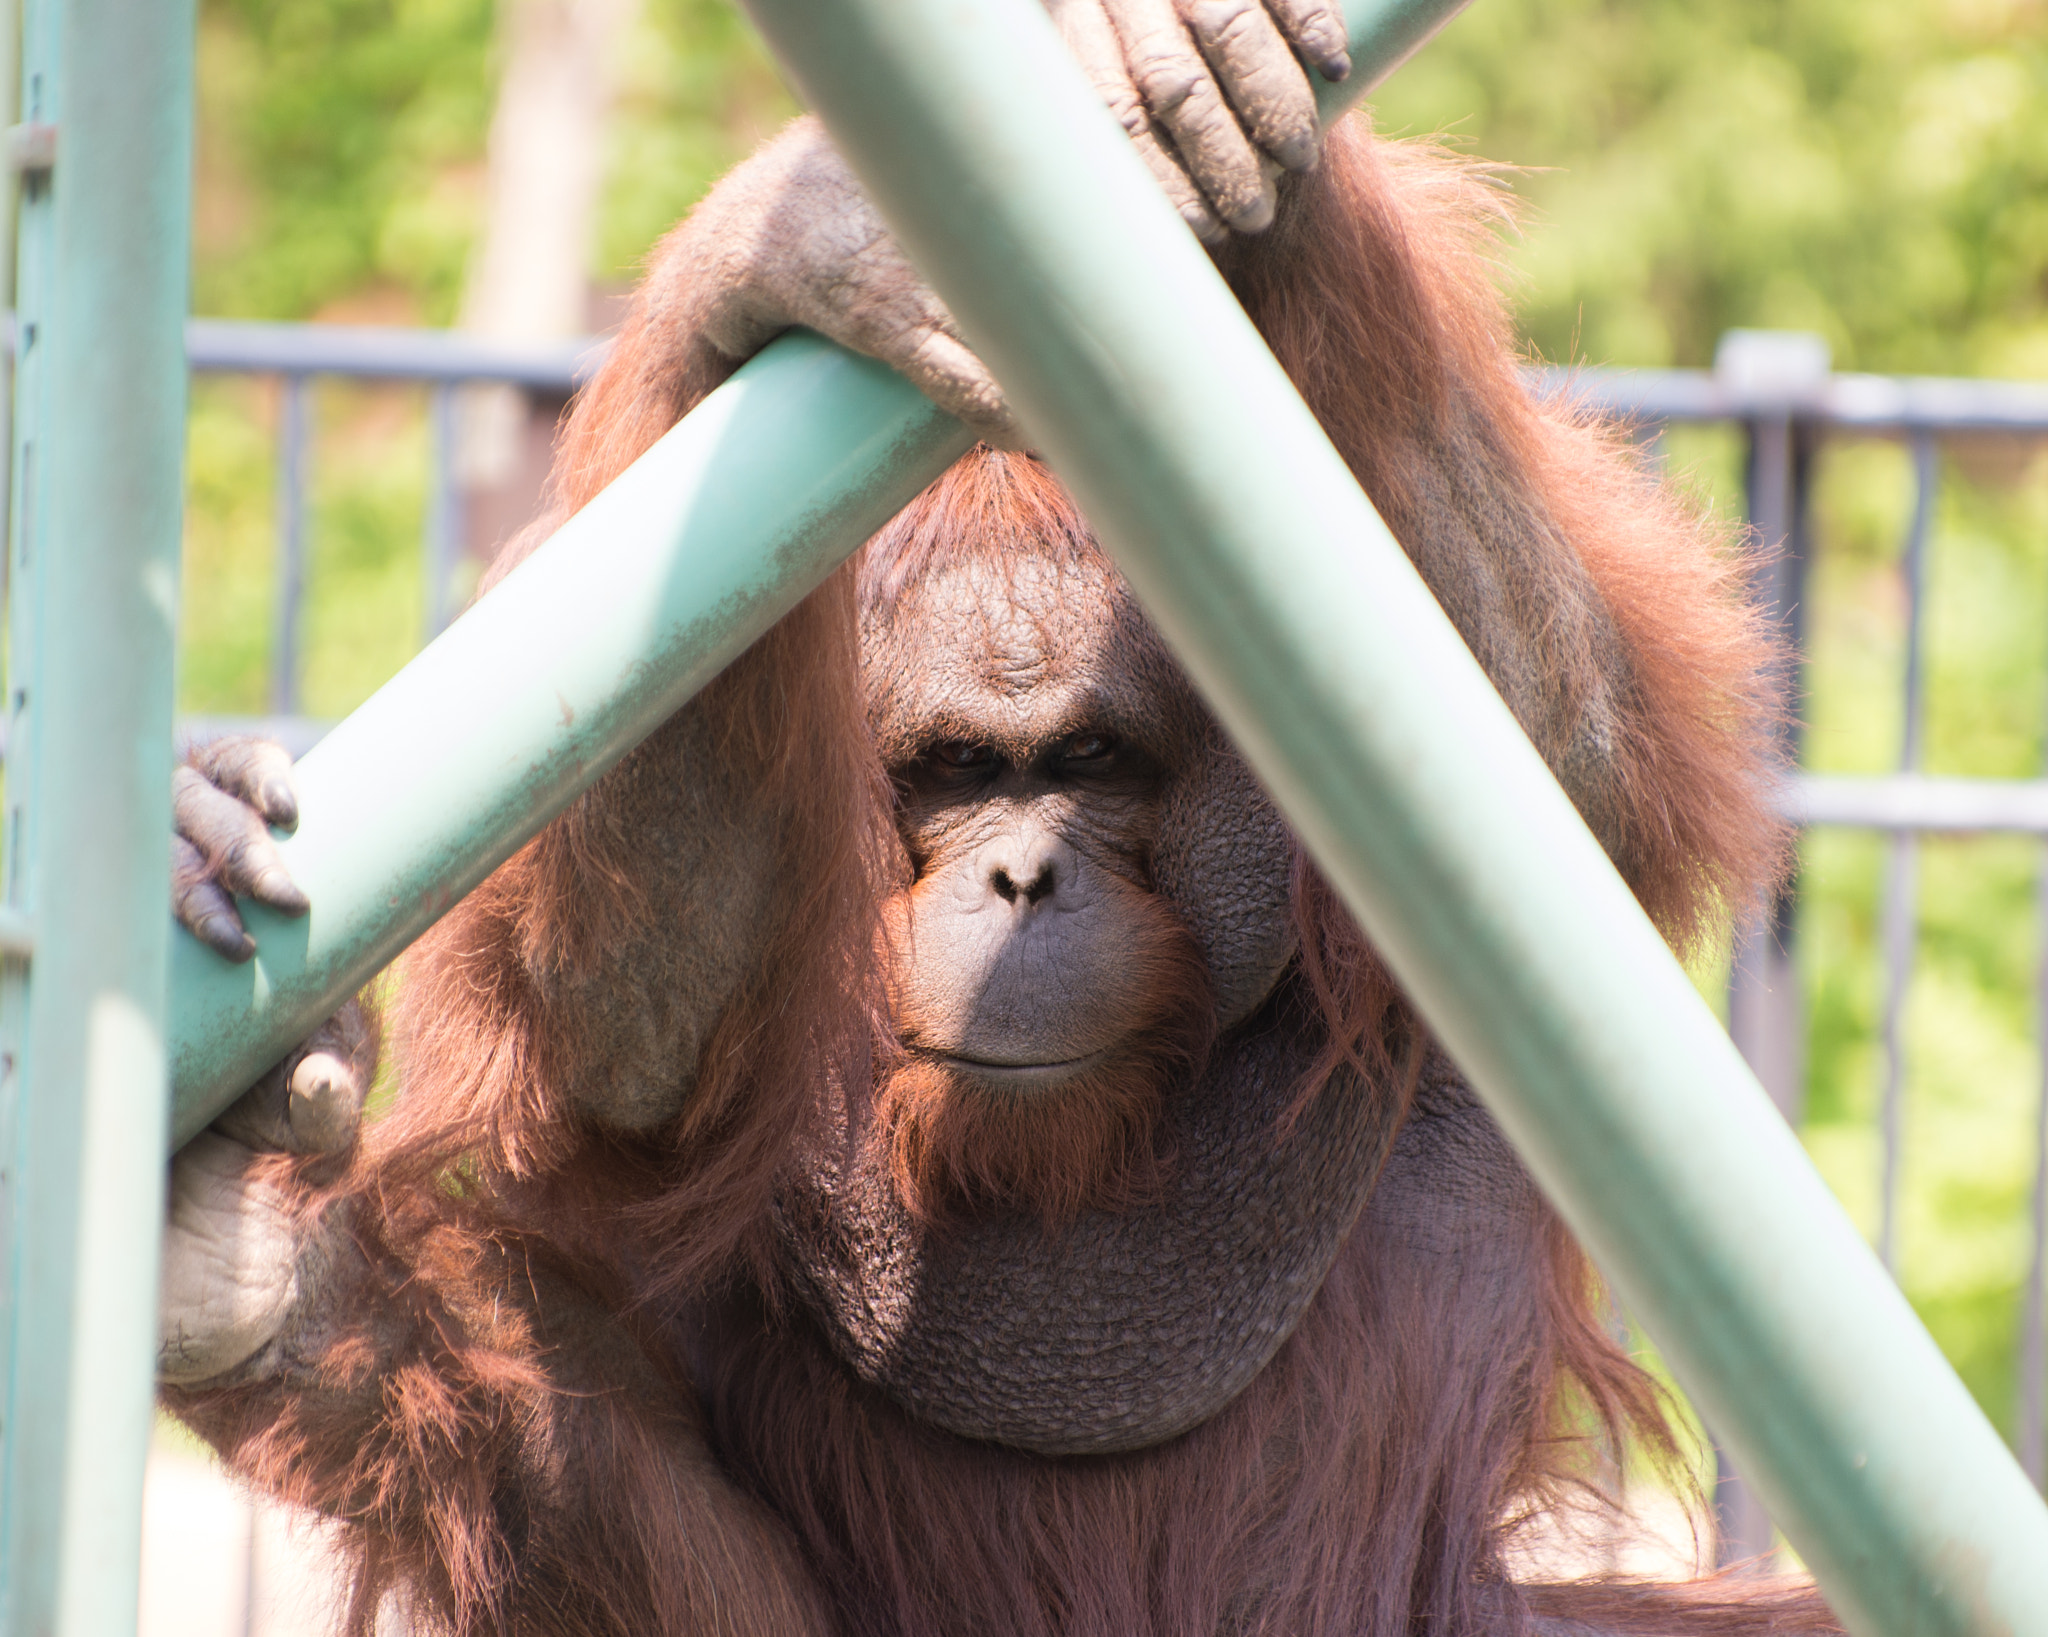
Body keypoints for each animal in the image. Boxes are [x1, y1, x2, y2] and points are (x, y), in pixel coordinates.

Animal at [156, 9, 1837, 1634]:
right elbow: (638, 1000)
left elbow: (1546, 702)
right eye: (960, 771)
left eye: (1088, 756)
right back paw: (254, 1272)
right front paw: (779, 246)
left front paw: (1233, 145)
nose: (1026, 877)